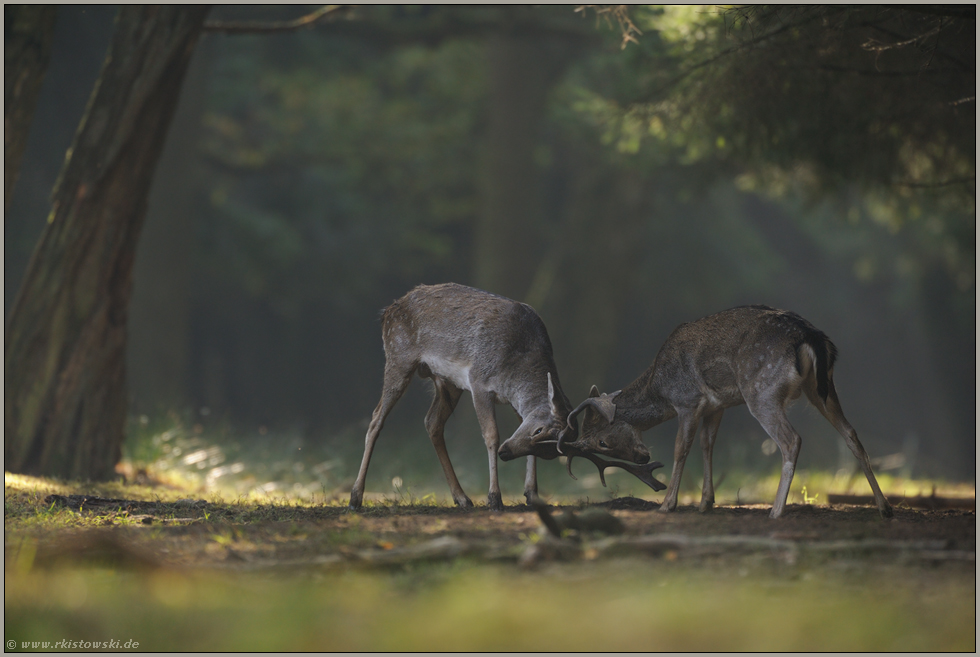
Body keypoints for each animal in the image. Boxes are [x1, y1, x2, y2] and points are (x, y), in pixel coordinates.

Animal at [348, 280, 656, 510]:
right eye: (539, 430)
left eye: (545, 449)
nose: (507, 453)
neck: (517, 364)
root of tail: (388, 310)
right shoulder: (478, 381)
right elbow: (491, 435)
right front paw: (495, 498)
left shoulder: (508, 400)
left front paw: (531, 494)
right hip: (398, 356)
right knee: (375, 419)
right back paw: (355, 497)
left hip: (446, 381)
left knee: (432, 422)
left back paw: (462, 498)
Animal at [556, 304, 892, 520]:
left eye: (602, 442)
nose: (642, 457)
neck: (660, 387)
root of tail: (812, 337)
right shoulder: (716, 406)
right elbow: (708, 445)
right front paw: (706, 503)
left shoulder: (688, 401)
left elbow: (682, 449)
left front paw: (667, 504)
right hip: (822, 388)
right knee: (851, 434)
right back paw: (884, 507)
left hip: (762, 391)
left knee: (791, 440)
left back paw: (776, 510)